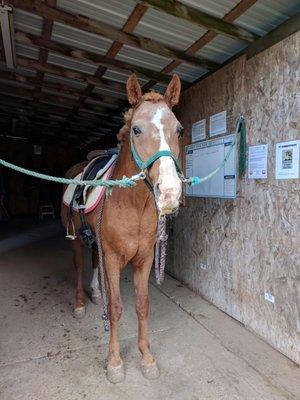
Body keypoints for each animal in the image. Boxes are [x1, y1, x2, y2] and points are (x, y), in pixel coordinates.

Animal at [61, 73, 183, 382]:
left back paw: (94, 293)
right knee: (78, 266)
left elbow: (142, 305)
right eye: (136, 130)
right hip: (76, 240)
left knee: (93, 263)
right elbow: (116, 308)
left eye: (179, 130)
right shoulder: (114, 260)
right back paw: (80, 304)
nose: (169, 192)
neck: (133, 205)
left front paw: (147, 358)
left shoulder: (144, 259)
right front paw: (115, 362)